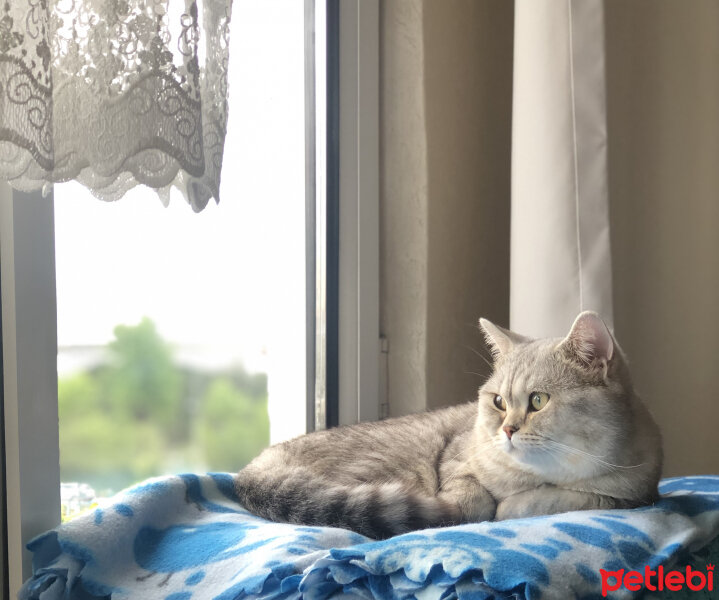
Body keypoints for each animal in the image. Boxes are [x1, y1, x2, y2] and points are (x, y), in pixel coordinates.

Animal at [236, 312, 664, 540]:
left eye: (539, 401)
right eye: (498, 402)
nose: (507, 430)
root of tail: (255, 465)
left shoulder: (633, 494)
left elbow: (560, 499)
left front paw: (518, 504)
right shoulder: (456, 461)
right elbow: (471, 499)